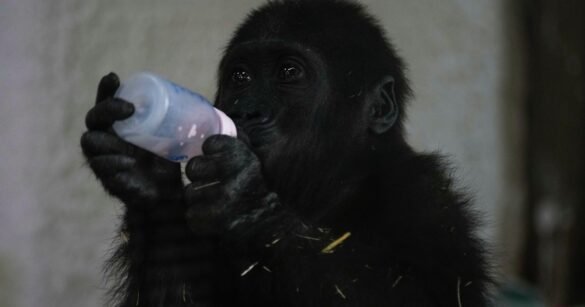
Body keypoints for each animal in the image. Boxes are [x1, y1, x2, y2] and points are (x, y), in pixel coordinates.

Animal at [80, 0, 490, 307]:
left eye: (289, 72)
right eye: (241, 77)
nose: (247, 111)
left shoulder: (426, 200)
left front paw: (247, 205)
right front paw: (147, 175)